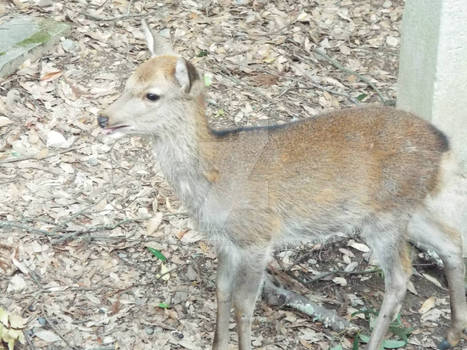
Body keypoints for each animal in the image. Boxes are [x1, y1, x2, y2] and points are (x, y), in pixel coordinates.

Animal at [97, 22, 466, 350]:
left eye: (152, 95)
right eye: (127, 82)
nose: (103, 117)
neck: (215, 176)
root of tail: (444, 144)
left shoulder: (257, 236)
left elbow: (244, 303)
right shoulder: (225, 241)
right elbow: (222, 291)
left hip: (387, 215)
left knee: (401, 276)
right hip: (408, 208)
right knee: (451, 242)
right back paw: (451, 334)